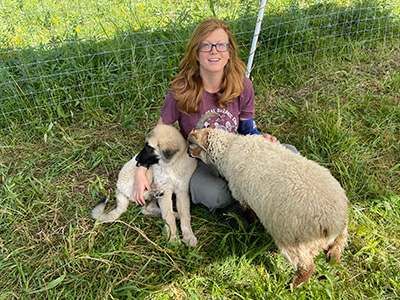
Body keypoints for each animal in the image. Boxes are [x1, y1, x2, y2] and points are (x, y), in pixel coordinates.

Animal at [187, 111, 346, 290]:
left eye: (191, 145)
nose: (186, 152)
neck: (229, 147)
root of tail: (334, 222)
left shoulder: (241, 193)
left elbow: (249, 210)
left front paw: (250, 222)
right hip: (339, 239)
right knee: (334, 256)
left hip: (294, 241)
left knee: (307, 268)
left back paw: (289, 288)